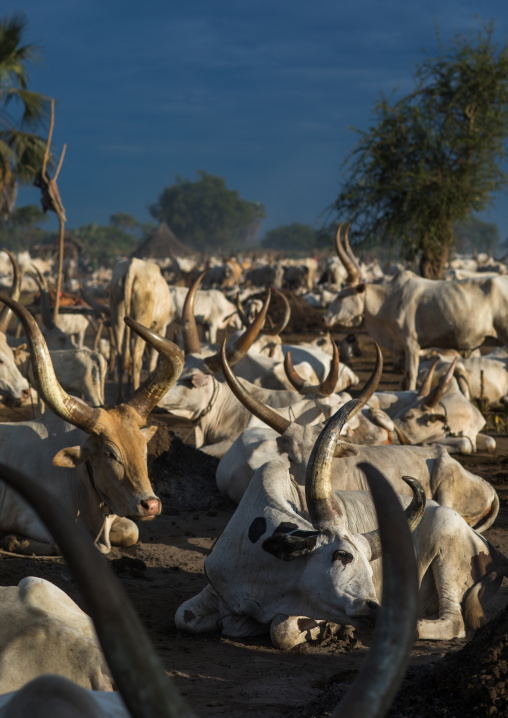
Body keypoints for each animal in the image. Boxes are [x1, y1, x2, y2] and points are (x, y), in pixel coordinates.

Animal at [176, 398, 506, 649]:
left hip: (446, 552)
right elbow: (184, 616)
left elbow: (281, 631)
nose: (374, 609)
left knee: (453, 621)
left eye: (370, 567)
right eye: (341, 555)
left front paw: (330, 630)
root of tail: (487, 547)